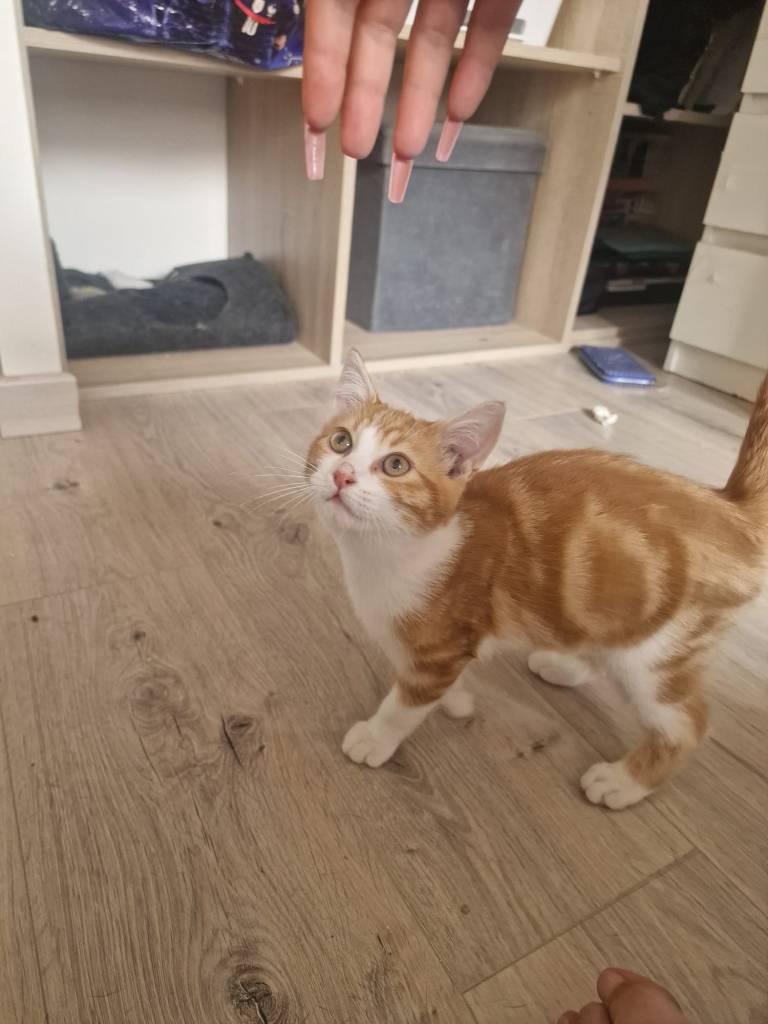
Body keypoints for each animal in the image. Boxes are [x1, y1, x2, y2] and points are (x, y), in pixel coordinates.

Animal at [307, 350, 767, 809]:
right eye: (341, 441)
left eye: (396, 465)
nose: (342, 475)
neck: (385, 554)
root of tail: (732, 511)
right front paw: (457, 700)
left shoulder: (442, 647)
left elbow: (408, 700)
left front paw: (377, 735)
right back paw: (564, 666)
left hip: (660, 652)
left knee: (686, 723)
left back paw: (624, 782)